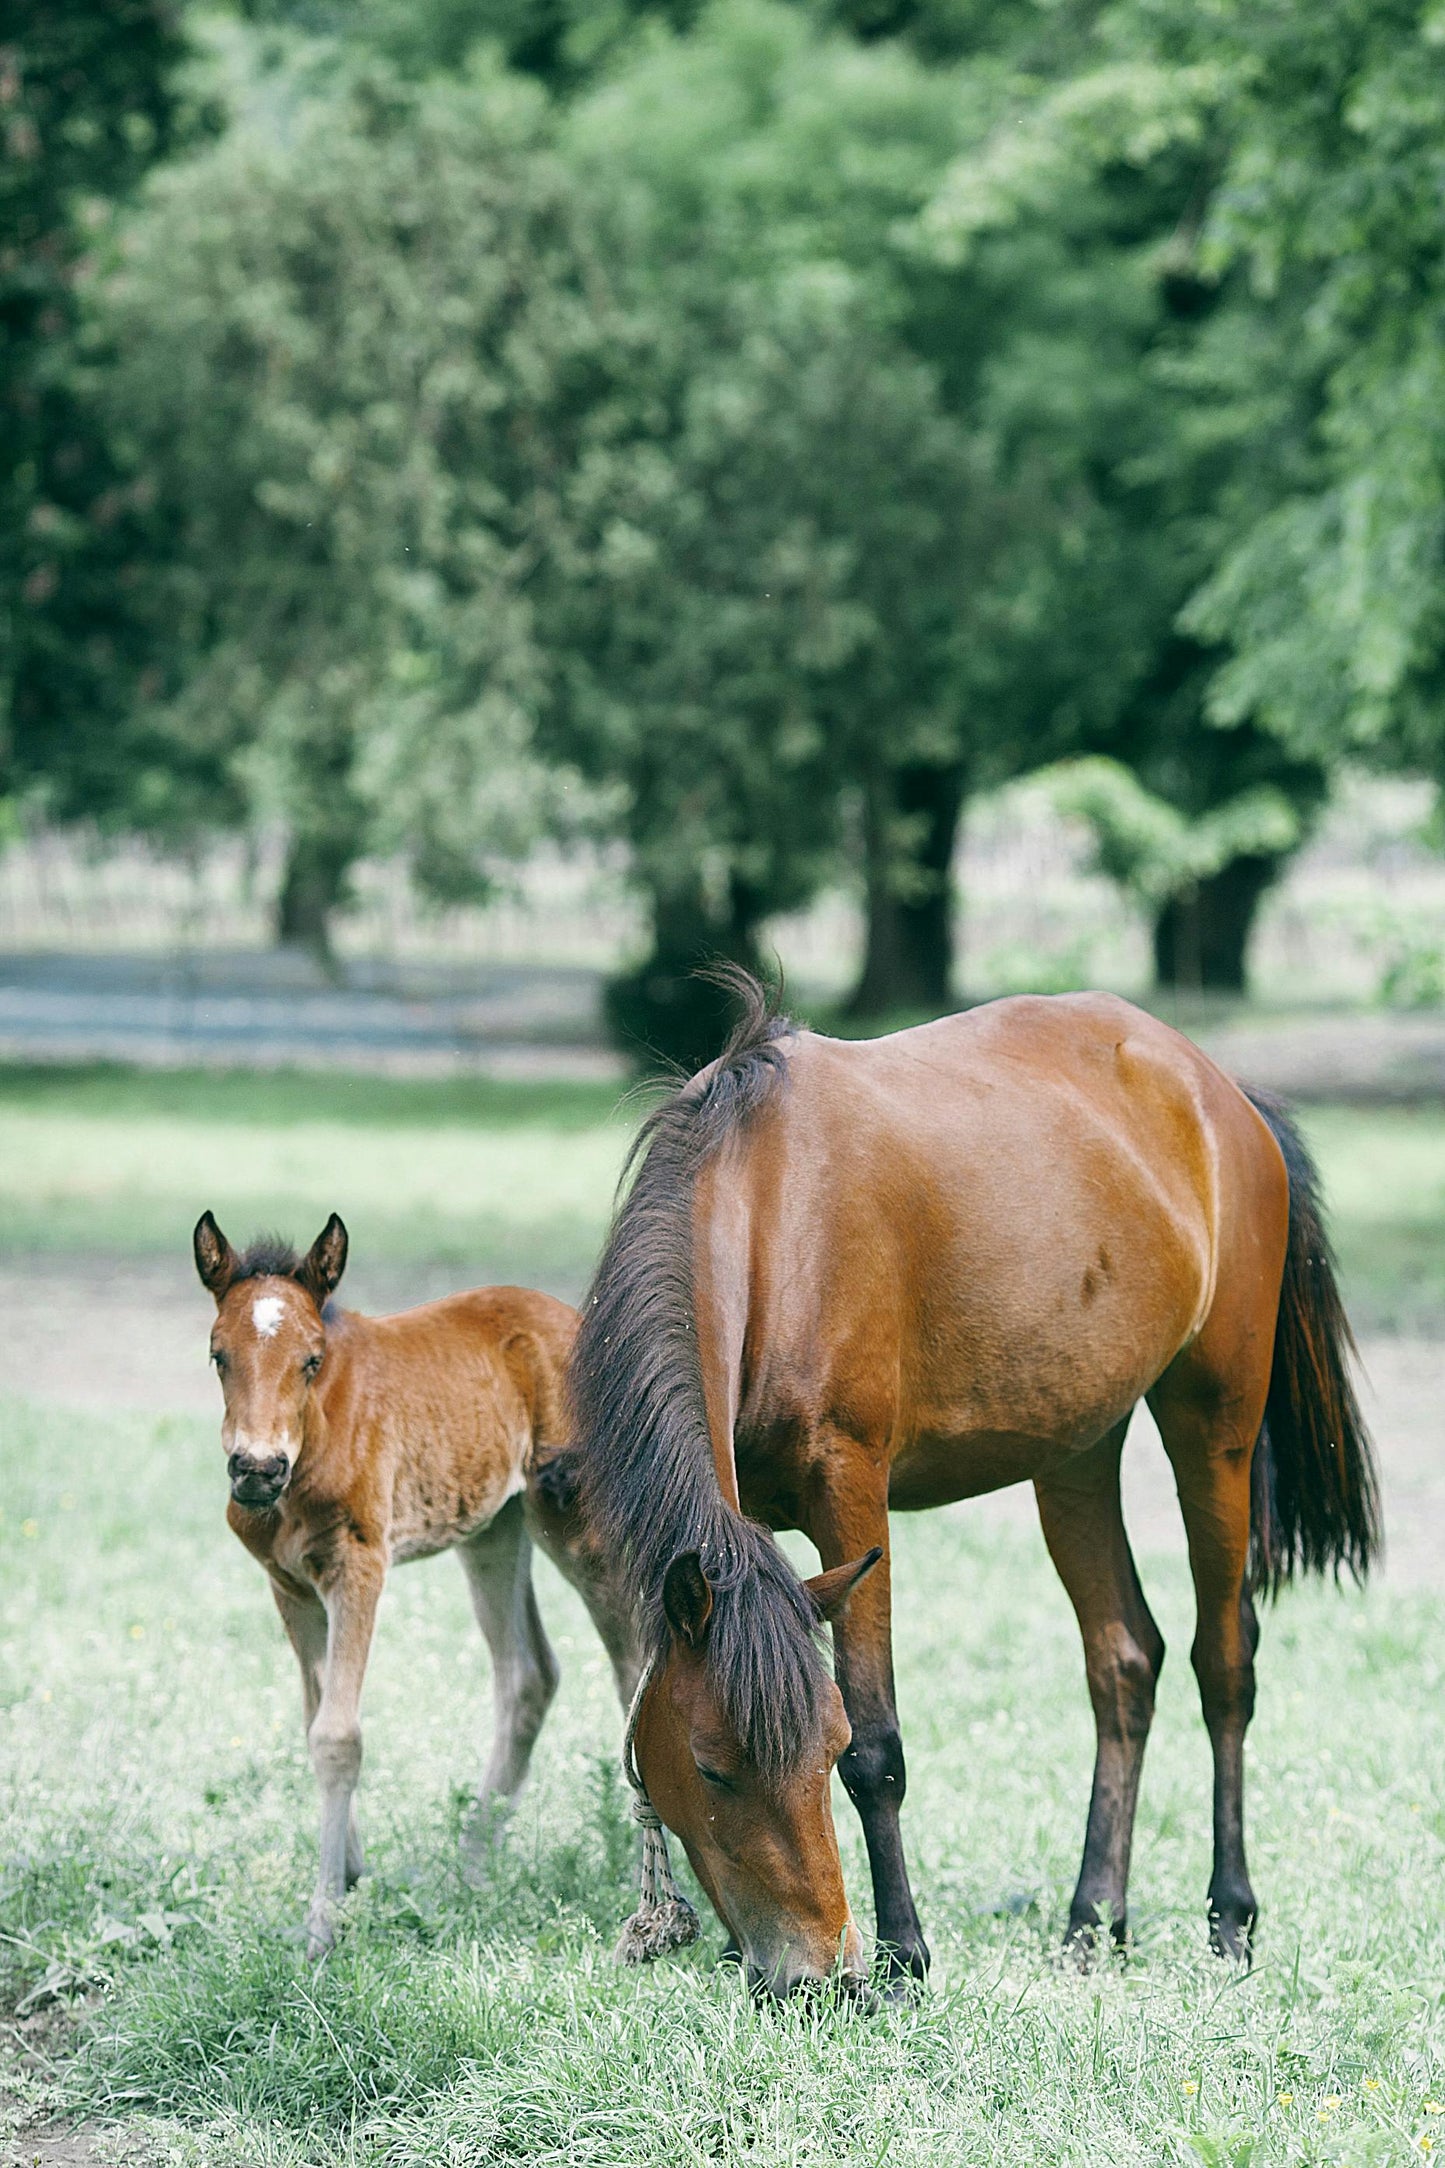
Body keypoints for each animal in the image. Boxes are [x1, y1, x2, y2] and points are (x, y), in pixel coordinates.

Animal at [192, 1210, 639, 1957]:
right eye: (217, 1354)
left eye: (312, 1359)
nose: (256, 1468)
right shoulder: (289, 1585)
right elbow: (313, 1718)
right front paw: (350, 1877)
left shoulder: (359, 1566)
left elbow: (338, 1735)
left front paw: (323, 1923)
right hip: (494, 1530)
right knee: (528, 1676)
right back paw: (472, 1867)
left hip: (578, 1527)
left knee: (633, 1669)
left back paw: (645, 1874)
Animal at [558, 977, 1380, 1998]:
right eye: (709, 1770)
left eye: (823, 1751)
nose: (812, 1976)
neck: (768, 1216)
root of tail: (1221, 1092)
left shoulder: (849, 1494)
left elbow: (881, 1747)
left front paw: (904, 1955)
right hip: (1075, 1450)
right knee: (1124, 1660)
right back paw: (1091, 1921)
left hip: (1212, 1425)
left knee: (1222, 1662)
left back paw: (1228, 1919)